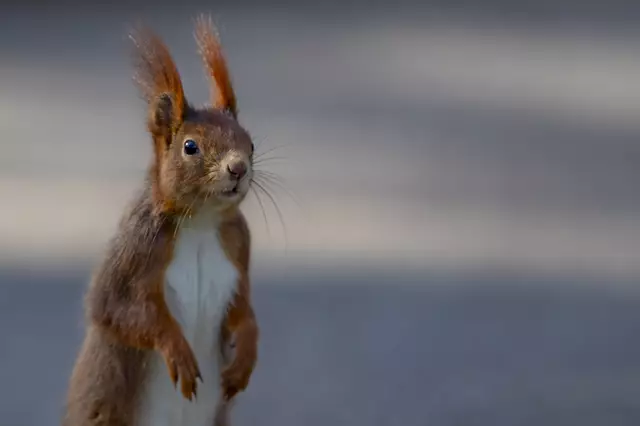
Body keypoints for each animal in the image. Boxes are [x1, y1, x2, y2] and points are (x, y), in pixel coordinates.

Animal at [62, 15, 259, 426]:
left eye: (251, 144)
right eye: (190, 147)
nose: (238, 168)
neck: (201, 223)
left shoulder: (238, 246)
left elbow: (243, 308)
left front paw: (247, 351)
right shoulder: (137, 247)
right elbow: (118, 311)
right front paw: (177, 349)